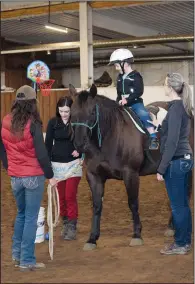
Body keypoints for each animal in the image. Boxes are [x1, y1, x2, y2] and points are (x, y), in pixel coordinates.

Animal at [69, 85, 193, 251]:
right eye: (72, 112)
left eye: (92, 113)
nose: (79, 144)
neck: (111, 136)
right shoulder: (94, 176)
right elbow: (96, 206)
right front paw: (92, 238)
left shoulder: (130, 174)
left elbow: (133, 203)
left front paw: (137, 235)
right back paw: (171, 227)